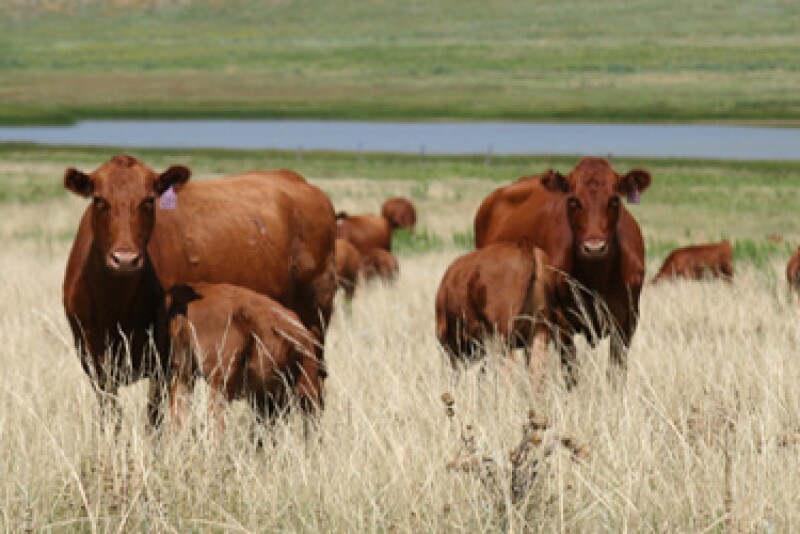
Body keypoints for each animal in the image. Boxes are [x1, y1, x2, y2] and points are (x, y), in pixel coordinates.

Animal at [474, 157, 652, 387]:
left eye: (614, 200)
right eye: (573, 201)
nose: (594, 247)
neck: (597, 280)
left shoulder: (626, 324)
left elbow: (616, 375)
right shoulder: (561, 325)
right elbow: (572, 375)